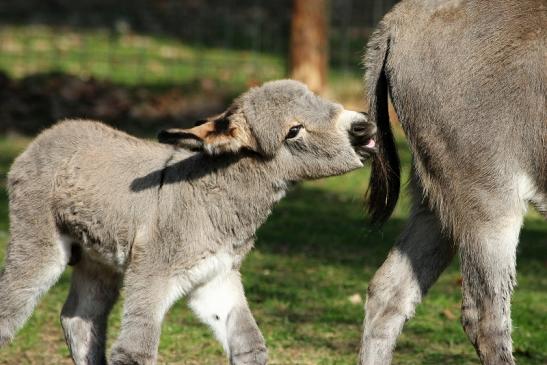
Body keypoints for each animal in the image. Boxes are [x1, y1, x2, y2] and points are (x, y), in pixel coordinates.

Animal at [0, 80, 376, 364]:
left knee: (79, 317)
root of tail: (47, 135)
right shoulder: (150, 276)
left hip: (98, 258)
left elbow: (249, 346)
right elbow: (135, 352)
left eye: (319, 98)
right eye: (293, 131)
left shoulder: (215, 278)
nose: (365, 127)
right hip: (39, 244)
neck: (210, 198)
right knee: (11, 308)